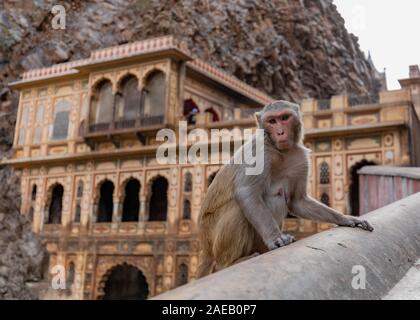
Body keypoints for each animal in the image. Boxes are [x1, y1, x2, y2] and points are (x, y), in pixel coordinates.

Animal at [198, 100, 374, 278]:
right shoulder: (259, 152)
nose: (280, 132)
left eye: (284, 118)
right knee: (238, 208)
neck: (280, 152)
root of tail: (205, 247)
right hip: (213, 238)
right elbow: (246, 193)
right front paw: (276, 238)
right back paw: (231, 262)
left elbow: (297, 201)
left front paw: (346, 219)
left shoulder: (300, 158)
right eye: (272, 121)